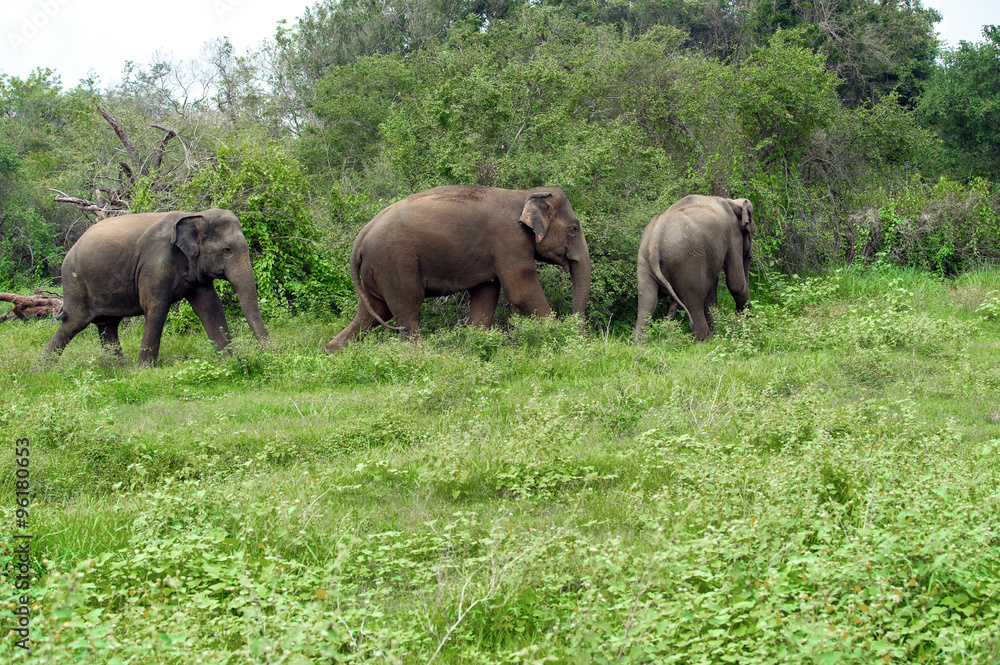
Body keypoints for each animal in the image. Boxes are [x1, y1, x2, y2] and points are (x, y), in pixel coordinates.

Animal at [43, 208, 270, 366]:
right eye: (226, 250)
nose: (272, 353)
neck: (195, 215)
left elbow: (210, 307)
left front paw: (230, 361)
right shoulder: (155, 263)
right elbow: (156, 307)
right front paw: (144, 370)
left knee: (108, 325)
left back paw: (118, 370)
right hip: (75, 281)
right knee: (74, 322)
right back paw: (42, 370)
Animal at [324, 185, 591, 353]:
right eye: (574, 229)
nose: (580, 332)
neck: (526, 193)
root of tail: (361, 237)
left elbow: (486, 295)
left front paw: (474, 345)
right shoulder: (509, 242)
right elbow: (520, 292)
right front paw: (560, 338)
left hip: (376, 269)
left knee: (372, 311)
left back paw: (332, 351)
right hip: (394, 262)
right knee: (406, 310)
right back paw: (419, 355)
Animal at [634, 195, 755, 341]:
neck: (731, 202)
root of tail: (655, 240)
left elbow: (712, 290)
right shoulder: (732, 235)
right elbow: (736, 284)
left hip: (644, 260)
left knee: (647, 299)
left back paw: (639, 344)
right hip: (687, 260)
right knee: (694, 298)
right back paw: (705, 341)